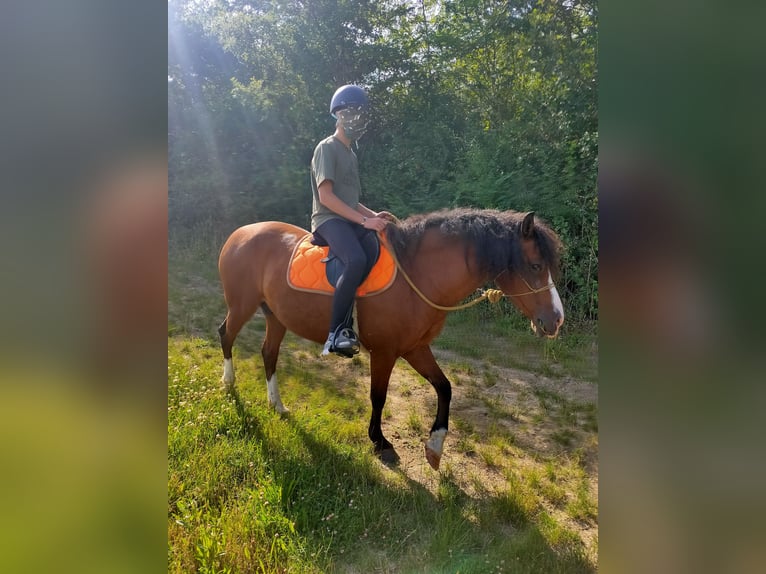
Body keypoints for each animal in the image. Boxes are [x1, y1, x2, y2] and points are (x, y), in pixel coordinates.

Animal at [219, 209, 568, 470]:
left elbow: (445, 387)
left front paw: (435, 446)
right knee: (226, 335)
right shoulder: (385, 352)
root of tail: (240, 233)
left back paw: (277, 405)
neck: (418, 275)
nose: (556, 320)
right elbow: (379, 396)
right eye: (535, 265)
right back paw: (228, 383)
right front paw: (379, 441)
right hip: (242, 305)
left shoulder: (415, 348)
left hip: (275, 316)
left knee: (268, 353)